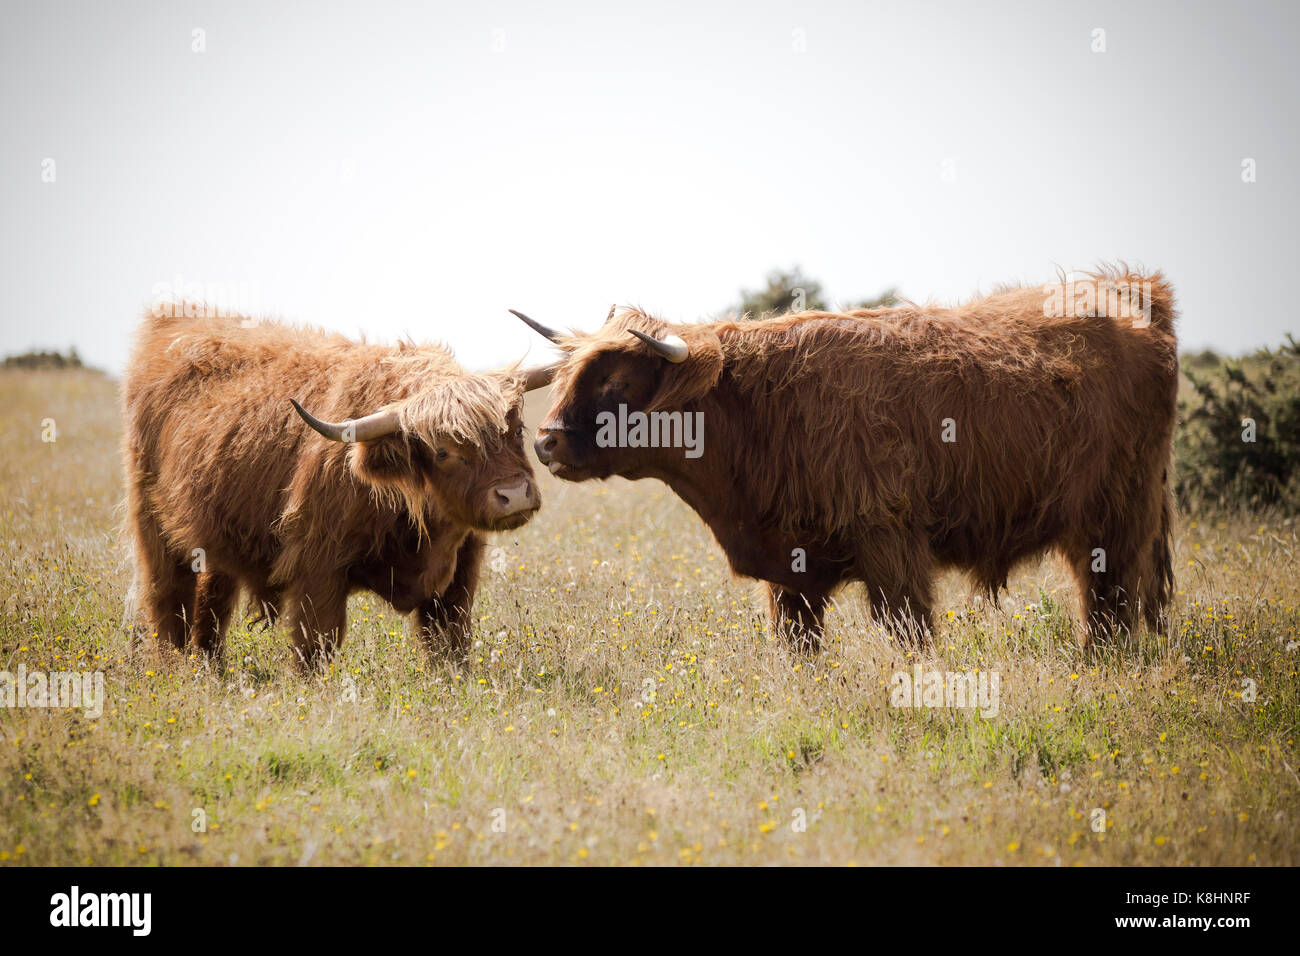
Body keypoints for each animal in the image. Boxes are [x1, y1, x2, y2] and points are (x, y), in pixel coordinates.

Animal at [122, 305, 553, 668]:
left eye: (516, 430)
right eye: (444, 451)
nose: (514, 495)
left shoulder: (460, 571)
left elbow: (451, 641)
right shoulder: (318, 567)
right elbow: (317, 645)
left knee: (211, 600)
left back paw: (210, 667)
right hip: (154, 527)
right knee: (168, 602)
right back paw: (173, 669)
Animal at [514, 267, 1179, 650]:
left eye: (617, 382)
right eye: (567, 374)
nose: (546, 441)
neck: (754, 413)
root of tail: (1132, 289)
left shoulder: (892, 543)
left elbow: (908, 634)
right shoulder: (791, 572)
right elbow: (797, 644)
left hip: (1117, 517)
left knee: (1110, 603)